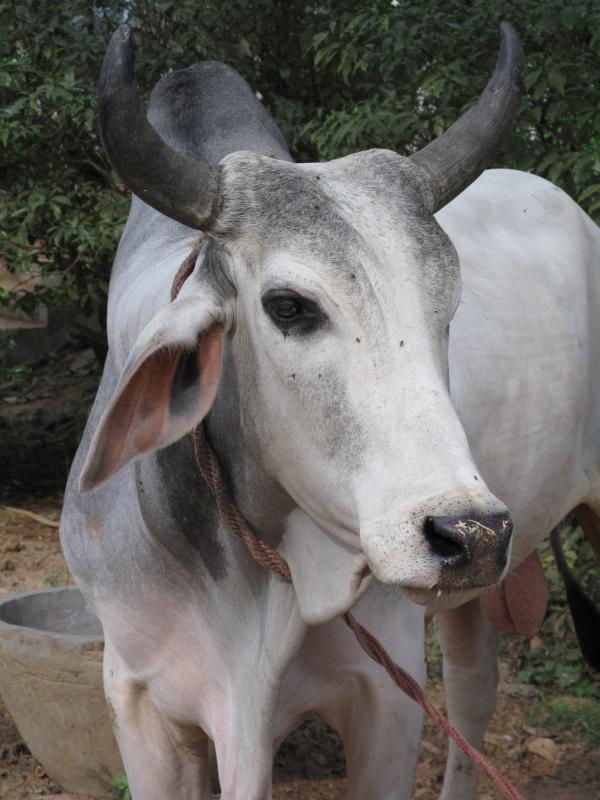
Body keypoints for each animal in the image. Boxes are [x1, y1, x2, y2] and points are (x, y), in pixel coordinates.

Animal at [60, 21, 600, 800]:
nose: (470, 534)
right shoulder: (137, 698)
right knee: (475, 682)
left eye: (449, 303)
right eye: (288, 306)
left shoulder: (385, 695)